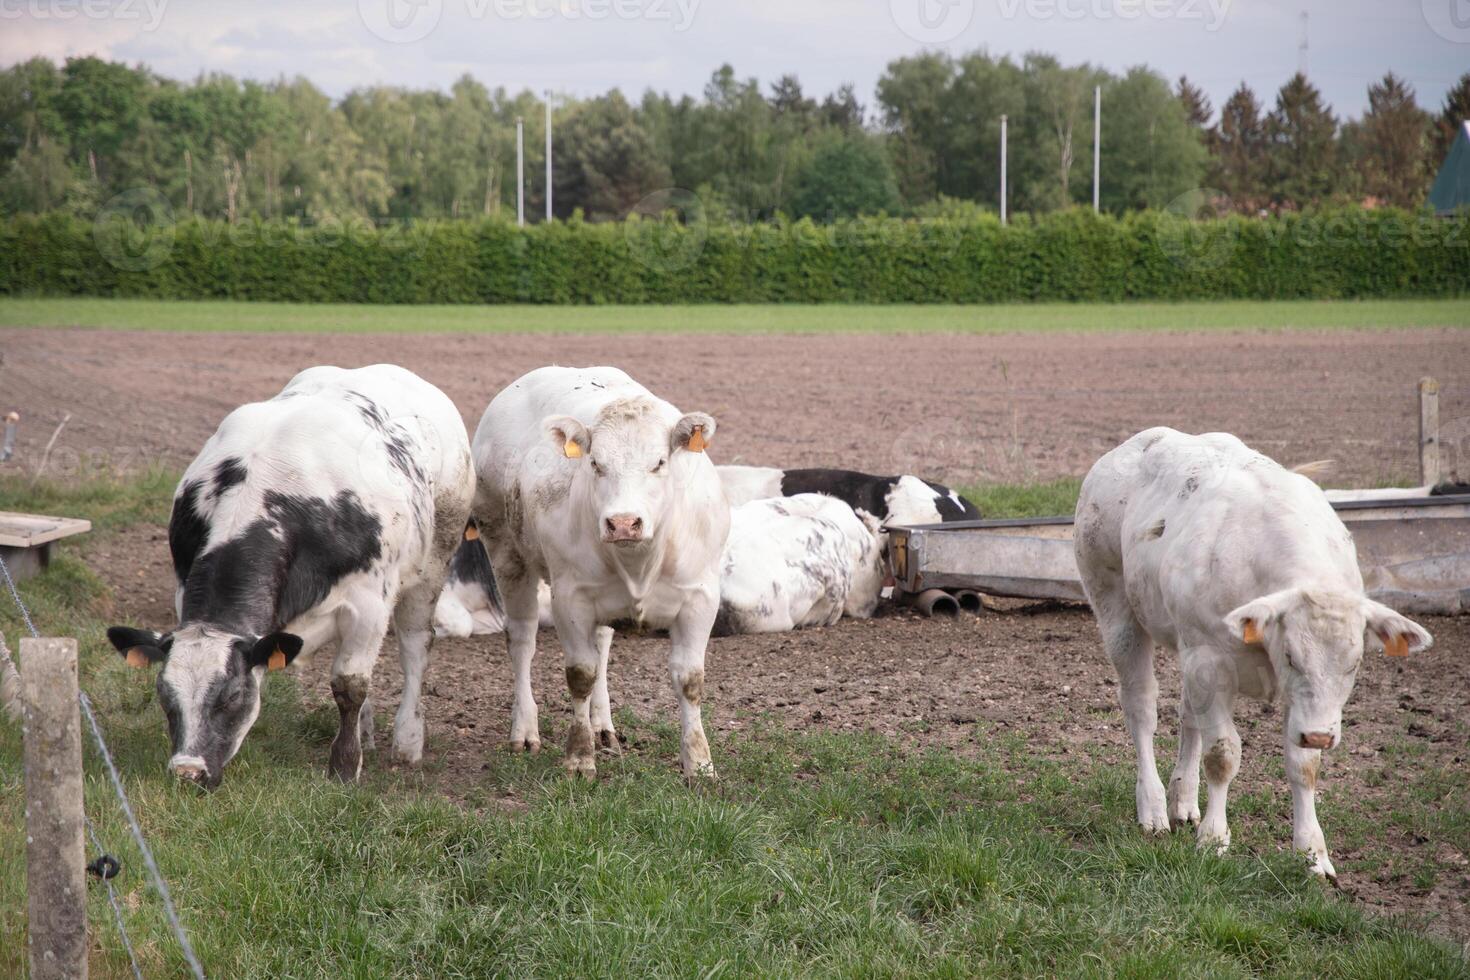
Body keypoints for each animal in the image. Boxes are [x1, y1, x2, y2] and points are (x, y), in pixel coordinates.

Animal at [107, 365, 473, 787]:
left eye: (231, 696)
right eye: (165, 696)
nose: (188, 772)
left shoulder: (369, 604)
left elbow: (349, 684)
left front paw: (344, 767)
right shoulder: (185, 589)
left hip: (436, 558)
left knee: (414, 646)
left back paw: (407, 740)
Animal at [470, 367, 729, 781]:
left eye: (659, 462)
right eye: (595, 464)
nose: (623, 523)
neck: (639, 561)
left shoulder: (700, 598)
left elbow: (689, 680)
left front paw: (699, 764)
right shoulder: (570, 598)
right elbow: (581, 674)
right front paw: (579, 758)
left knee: (603, 644)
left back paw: (602, 725)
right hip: (505, 550)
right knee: (522, 639)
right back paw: (524, 730)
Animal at [1076, 426, 1428, 875]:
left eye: (1354, 665)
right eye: (1292, 656)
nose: (1319, 735)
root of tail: (1133, 445)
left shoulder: (1269, 689)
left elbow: (1304, 766)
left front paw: (1313, 854)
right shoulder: (1210, 661)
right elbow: (1223, 755)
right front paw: (1213, 839)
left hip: (1187, 648)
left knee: (1187, 714)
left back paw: (1183, 801)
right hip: (1116, 607)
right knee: (1141, 708)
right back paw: (1152, 808)